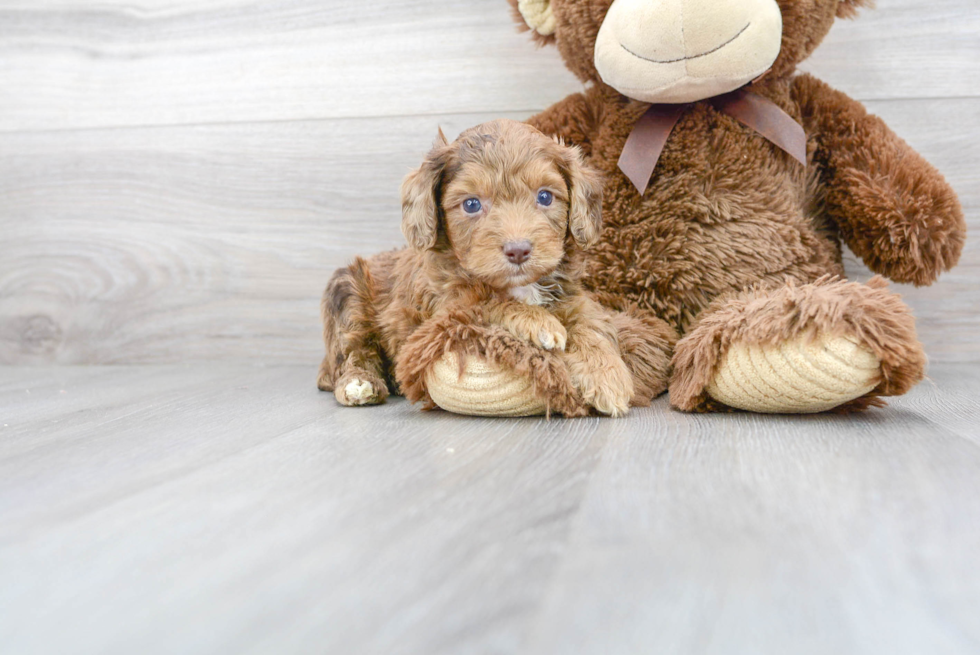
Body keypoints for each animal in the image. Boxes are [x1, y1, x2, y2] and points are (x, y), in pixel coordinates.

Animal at [320, 119, 652, 416]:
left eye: (545, 196)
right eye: (471, 204)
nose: (518, 250)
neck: (521, 285)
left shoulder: (573, 298)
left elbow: (590, 324)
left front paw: (607, 374)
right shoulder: (447, 307)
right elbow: (488, 301)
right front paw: (539, 323)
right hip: (347, 292)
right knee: (352, 351)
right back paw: (358, 383)